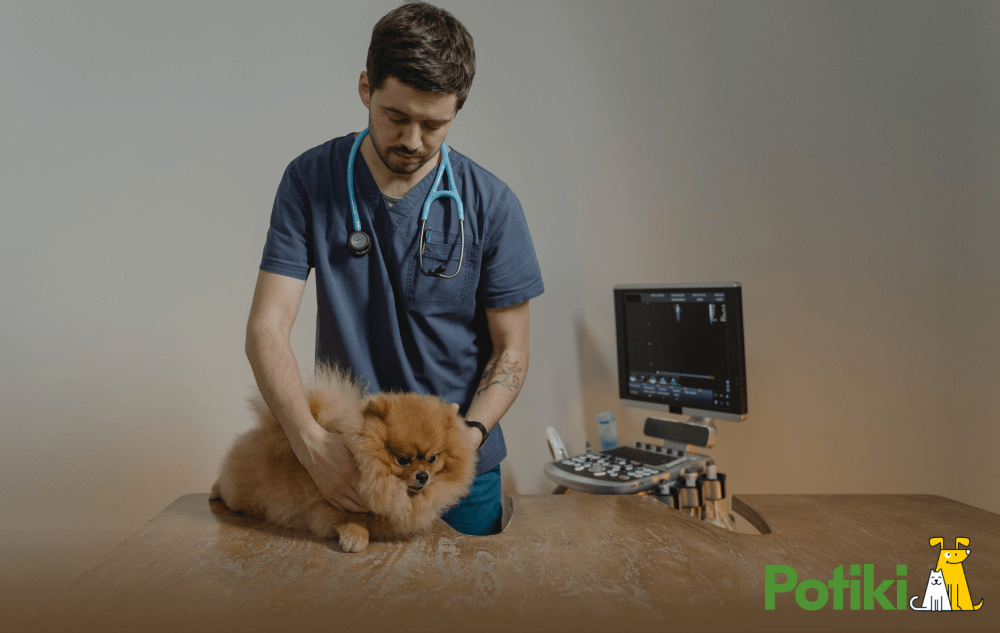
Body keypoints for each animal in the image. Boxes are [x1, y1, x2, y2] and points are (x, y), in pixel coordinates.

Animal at [210, 362, 476, 552]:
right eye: (403, 459)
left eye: (433, 459)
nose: (423, 477)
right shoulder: (334, 502)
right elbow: (353, 518)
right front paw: (355, 537)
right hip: (240, 493)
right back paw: (214, 491)